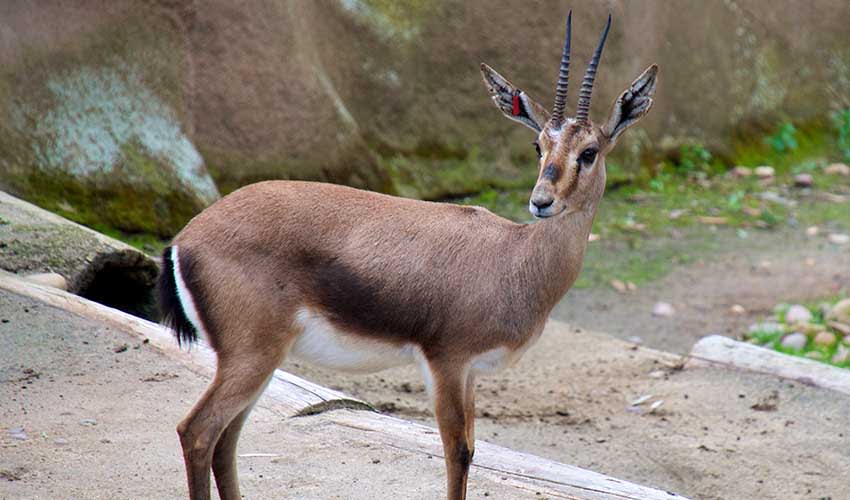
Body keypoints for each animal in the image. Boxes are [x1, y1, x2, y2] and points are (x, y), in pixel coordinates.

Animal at [158, 11, 657, 500]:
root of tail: (185, 238)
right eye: (540, 146)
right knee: (197, 431)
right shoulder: (446, 364)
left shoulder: (470, 374)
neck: (513, 258)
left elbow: (470, 449)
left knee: (226, 440)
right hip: (251, 357)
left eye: (589, 152)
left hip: (261, 362)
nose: (541, 202)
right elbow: (458, 453)